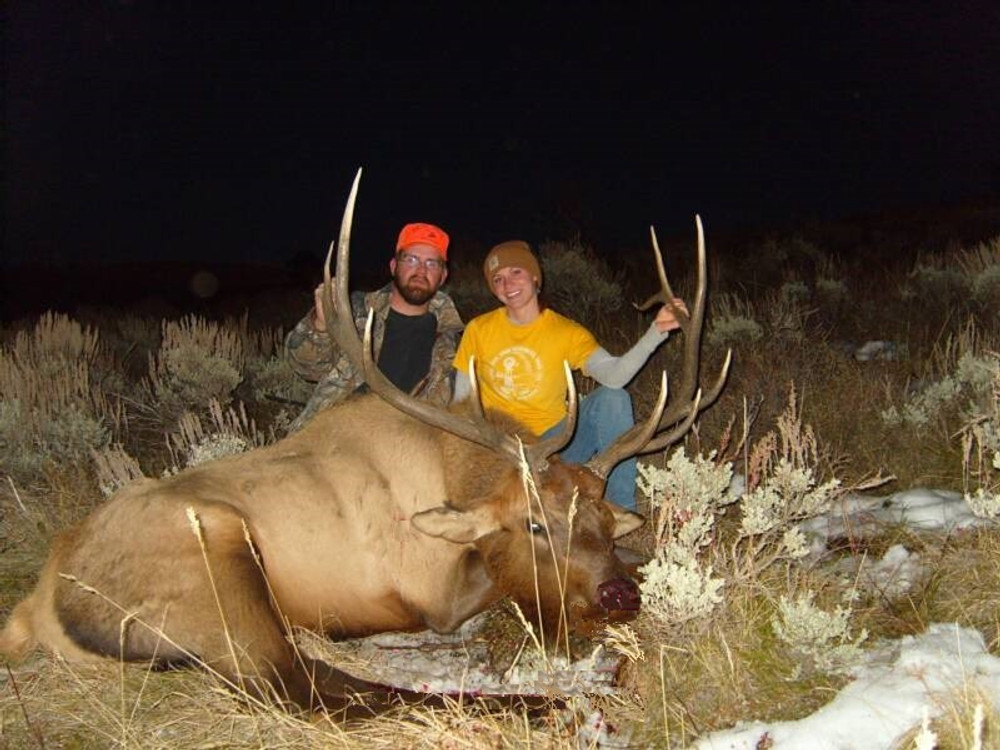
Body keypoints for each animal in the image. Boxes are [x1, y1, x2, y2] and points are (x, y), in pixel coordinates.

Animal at [1, 167, 736, 720]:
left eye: (603, 521)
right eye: (533, 522)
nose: (619, 598)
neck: (451, 472)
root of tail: (35, 610)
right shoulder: (433, 591)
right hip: (215, 560)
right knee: (305, 689)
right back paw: (546, 702)